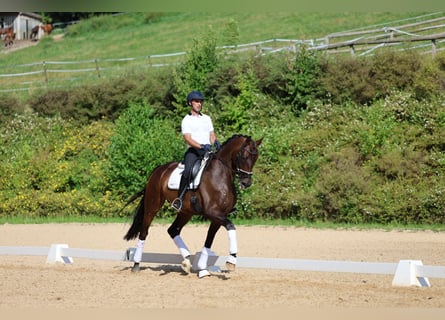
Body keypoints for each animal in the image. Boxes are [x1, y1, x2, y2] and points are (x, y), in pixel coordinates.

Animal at [122, 134, 260, 278]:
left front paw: (202, 269)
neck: (221, 176)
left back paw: (186, 261)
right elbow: (231, 226)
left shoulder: (219, 215)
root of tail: (158, 170)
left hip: (186, 212)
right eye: (243, 156)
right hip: (153, 206)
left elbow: (209, 239)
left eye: (256, 157)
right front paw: (231, 260)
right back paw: (136, 264)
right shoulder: (212, 213)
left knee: (172, 230)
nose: (246, 183)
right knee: (144, 231)